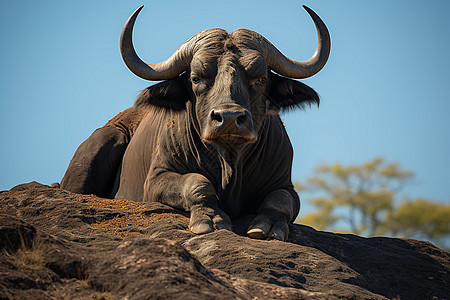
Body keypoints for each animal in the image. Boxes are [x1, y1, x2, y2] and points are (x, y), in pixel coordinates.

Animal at [60, 5, 330, 241]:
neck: (228, 163)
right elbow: (196, 183)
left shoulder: (285, 184)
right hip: (104, 141)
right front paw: (210, 218)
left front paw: (268, 226)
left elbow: (281, 199)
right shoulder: (156, 180)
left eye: (260, 79)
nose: (229, 119)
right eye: (196, 78)